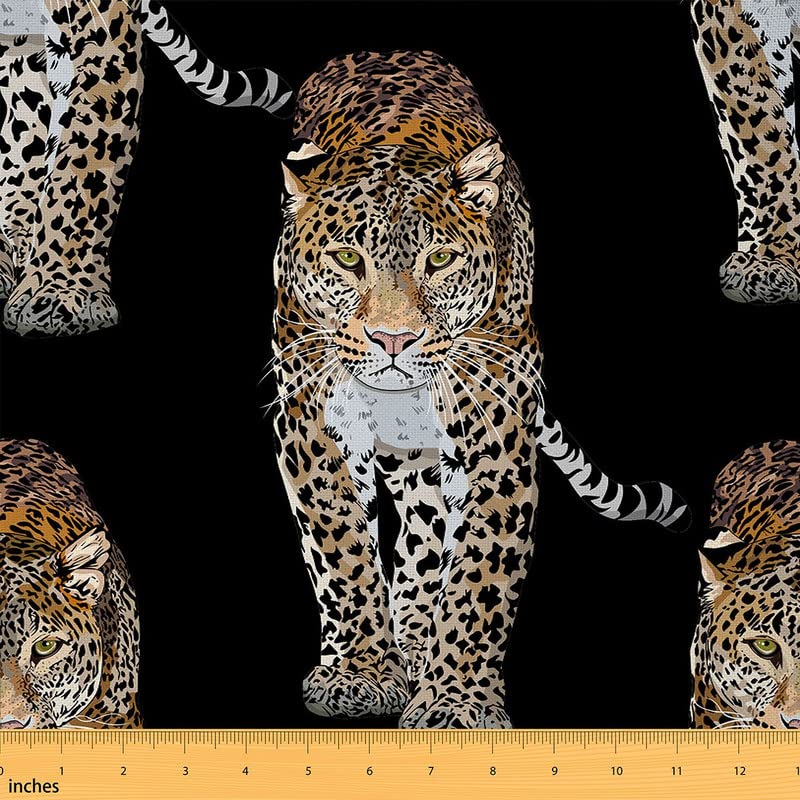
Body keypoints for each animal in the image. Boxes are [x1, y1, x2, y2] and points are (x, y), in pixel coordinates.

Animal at [269, 50, 690, 729]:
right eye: (348, 261)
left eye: (439, 262)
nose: (393, 340)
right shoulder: (311, 422)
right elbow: (341, 549)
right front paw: (360, 671)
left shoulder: (498, 435)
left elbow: (478, 573)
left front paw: (454, 699)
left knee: (426, 530)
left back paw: (417, 641)